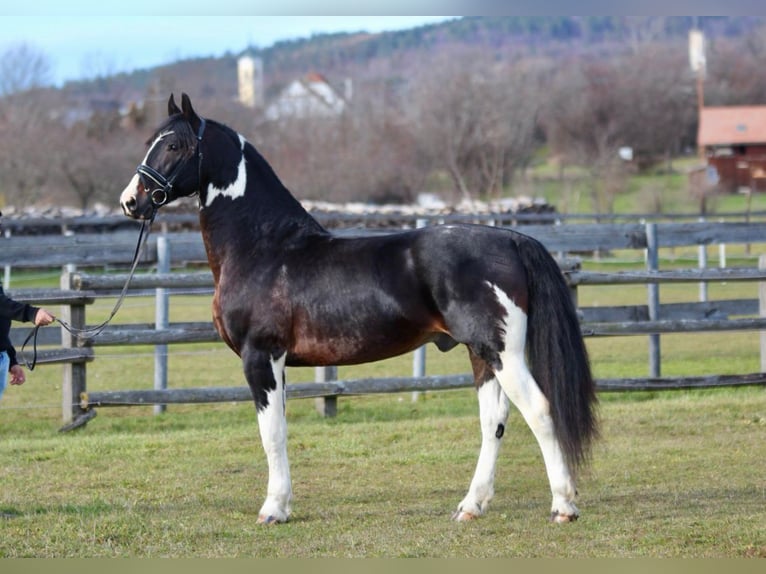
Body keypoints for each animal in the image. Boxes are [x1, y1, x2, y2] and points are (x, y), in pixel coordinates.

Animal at [120, 93, 600, 528]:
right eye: (149, 141)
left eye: (175, 145)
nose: (131, 201)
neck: (264, 247)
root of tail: (512, 239)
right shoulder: (277, 362)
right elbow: (280, 429)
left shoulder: (261, 355)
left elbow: (271, 434)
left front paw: (273, 509)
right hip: (482, 353)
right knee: (493, 421)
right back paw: (471, 506)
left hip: (503, 353)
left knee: (539, 410)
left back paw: (563, 506)